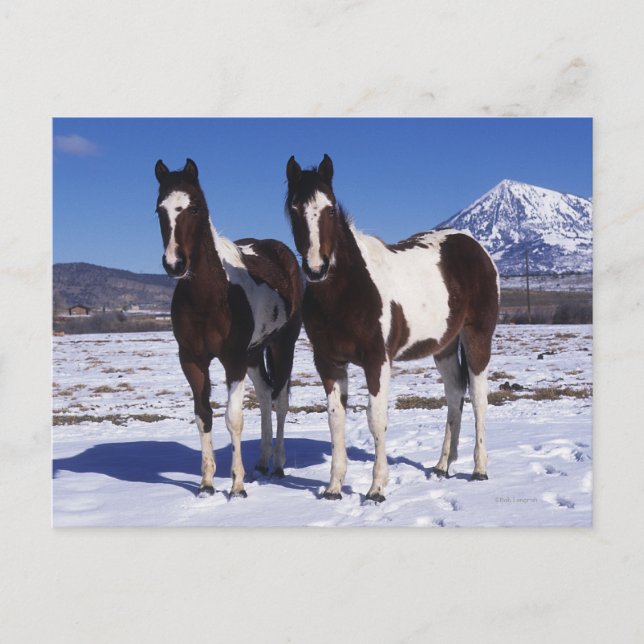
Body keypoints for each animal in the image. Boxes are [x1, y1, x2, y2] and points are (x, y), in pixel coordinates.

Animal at [155, 158, 302, 498]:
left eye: (194, 207)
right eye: (159, 210)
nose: (174, 264)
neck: (210, 296)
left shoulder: (233, 360)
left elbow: (233, 419)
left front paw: (236, 486)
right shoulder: (192, 361)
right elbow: (203, 416)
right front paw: (207, 483)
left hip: (282, 346)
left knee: (280, 401)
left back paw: (277, 465)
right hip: (254, 354)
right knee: (264, 395)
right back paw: (261, 462)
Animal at [285, 154, 499, 502]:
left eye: (330, 208)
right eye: (293, 208)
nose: (317, 269)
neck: (348, 289)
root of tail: (475, 247)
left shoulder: (377, 361)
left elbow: (376, 419)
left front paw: (376, 489)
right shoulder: (328, 363)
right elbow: (336, 420)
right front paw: (333, 488)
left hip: (477, 335)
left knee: (479, 398)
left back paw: (479, 469)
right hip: (444, 346)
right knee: (455, 394)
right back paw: (442, 465)